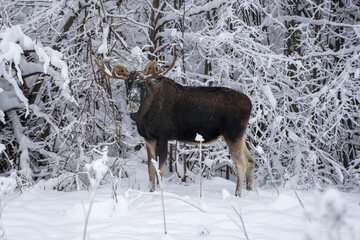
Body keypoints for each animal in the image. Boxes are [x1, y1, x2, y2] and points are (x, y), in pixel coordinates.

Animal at [94, 55, 255, 196]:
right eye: (128, 82)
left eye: (142, 83)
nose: (132, 104)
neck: (144, 114)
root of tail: (250, 103)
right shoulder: (148, 138)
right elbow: (150, 168)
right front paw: (150, 191)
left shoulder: (162, 136)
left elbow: (160, 168)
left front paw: (159, 192)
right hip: (240, 136)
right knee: (250, 160)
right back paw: (249, 190)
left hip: (233, 134)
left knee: (241, 163)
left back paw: (238, 193)